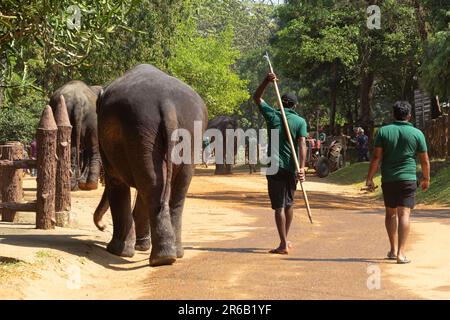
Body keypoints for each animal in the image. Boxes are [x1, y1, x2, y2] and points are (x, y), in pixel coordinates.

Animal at [93, 63, 209, 266]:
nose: (102, 226)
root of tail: (167, 104)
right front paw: (139, 247)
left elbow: (116, 181)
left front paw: (117, 251)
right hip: (184, 134)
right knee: (173, 187)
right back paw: (172, 255)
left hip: (140, 128)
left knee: (151, 184)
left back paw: (160, 258)